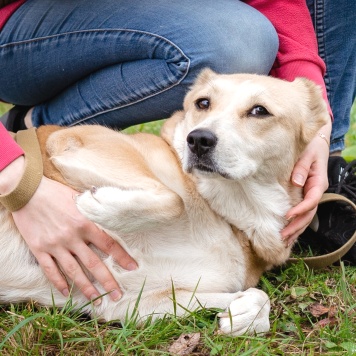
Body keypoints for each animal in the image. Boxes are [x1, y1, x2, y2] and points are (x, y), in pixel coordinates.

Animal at [0, 70, 328, 336]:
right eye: (203, 103)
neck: (227, 214)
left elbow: (259, 298)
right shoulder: (67, 141)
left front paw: (246, 313)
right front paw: (98, 205)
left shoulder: (128, 302)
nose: (198, 140)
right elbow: (173, 199)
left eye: (260, 111)